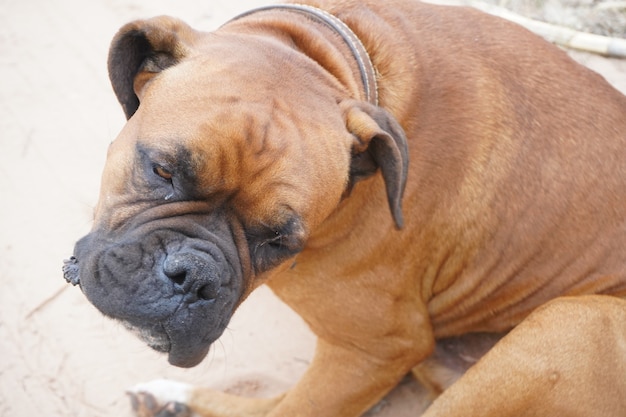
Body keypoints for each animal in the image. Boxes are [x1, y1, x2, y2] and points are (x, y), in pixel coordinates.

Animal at [62, 0, 624, 416]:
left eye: (281, 241)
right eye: (162, 171)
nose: (193, 277)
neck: (330, 56)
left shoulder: (376, 350)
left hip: (570, 319)